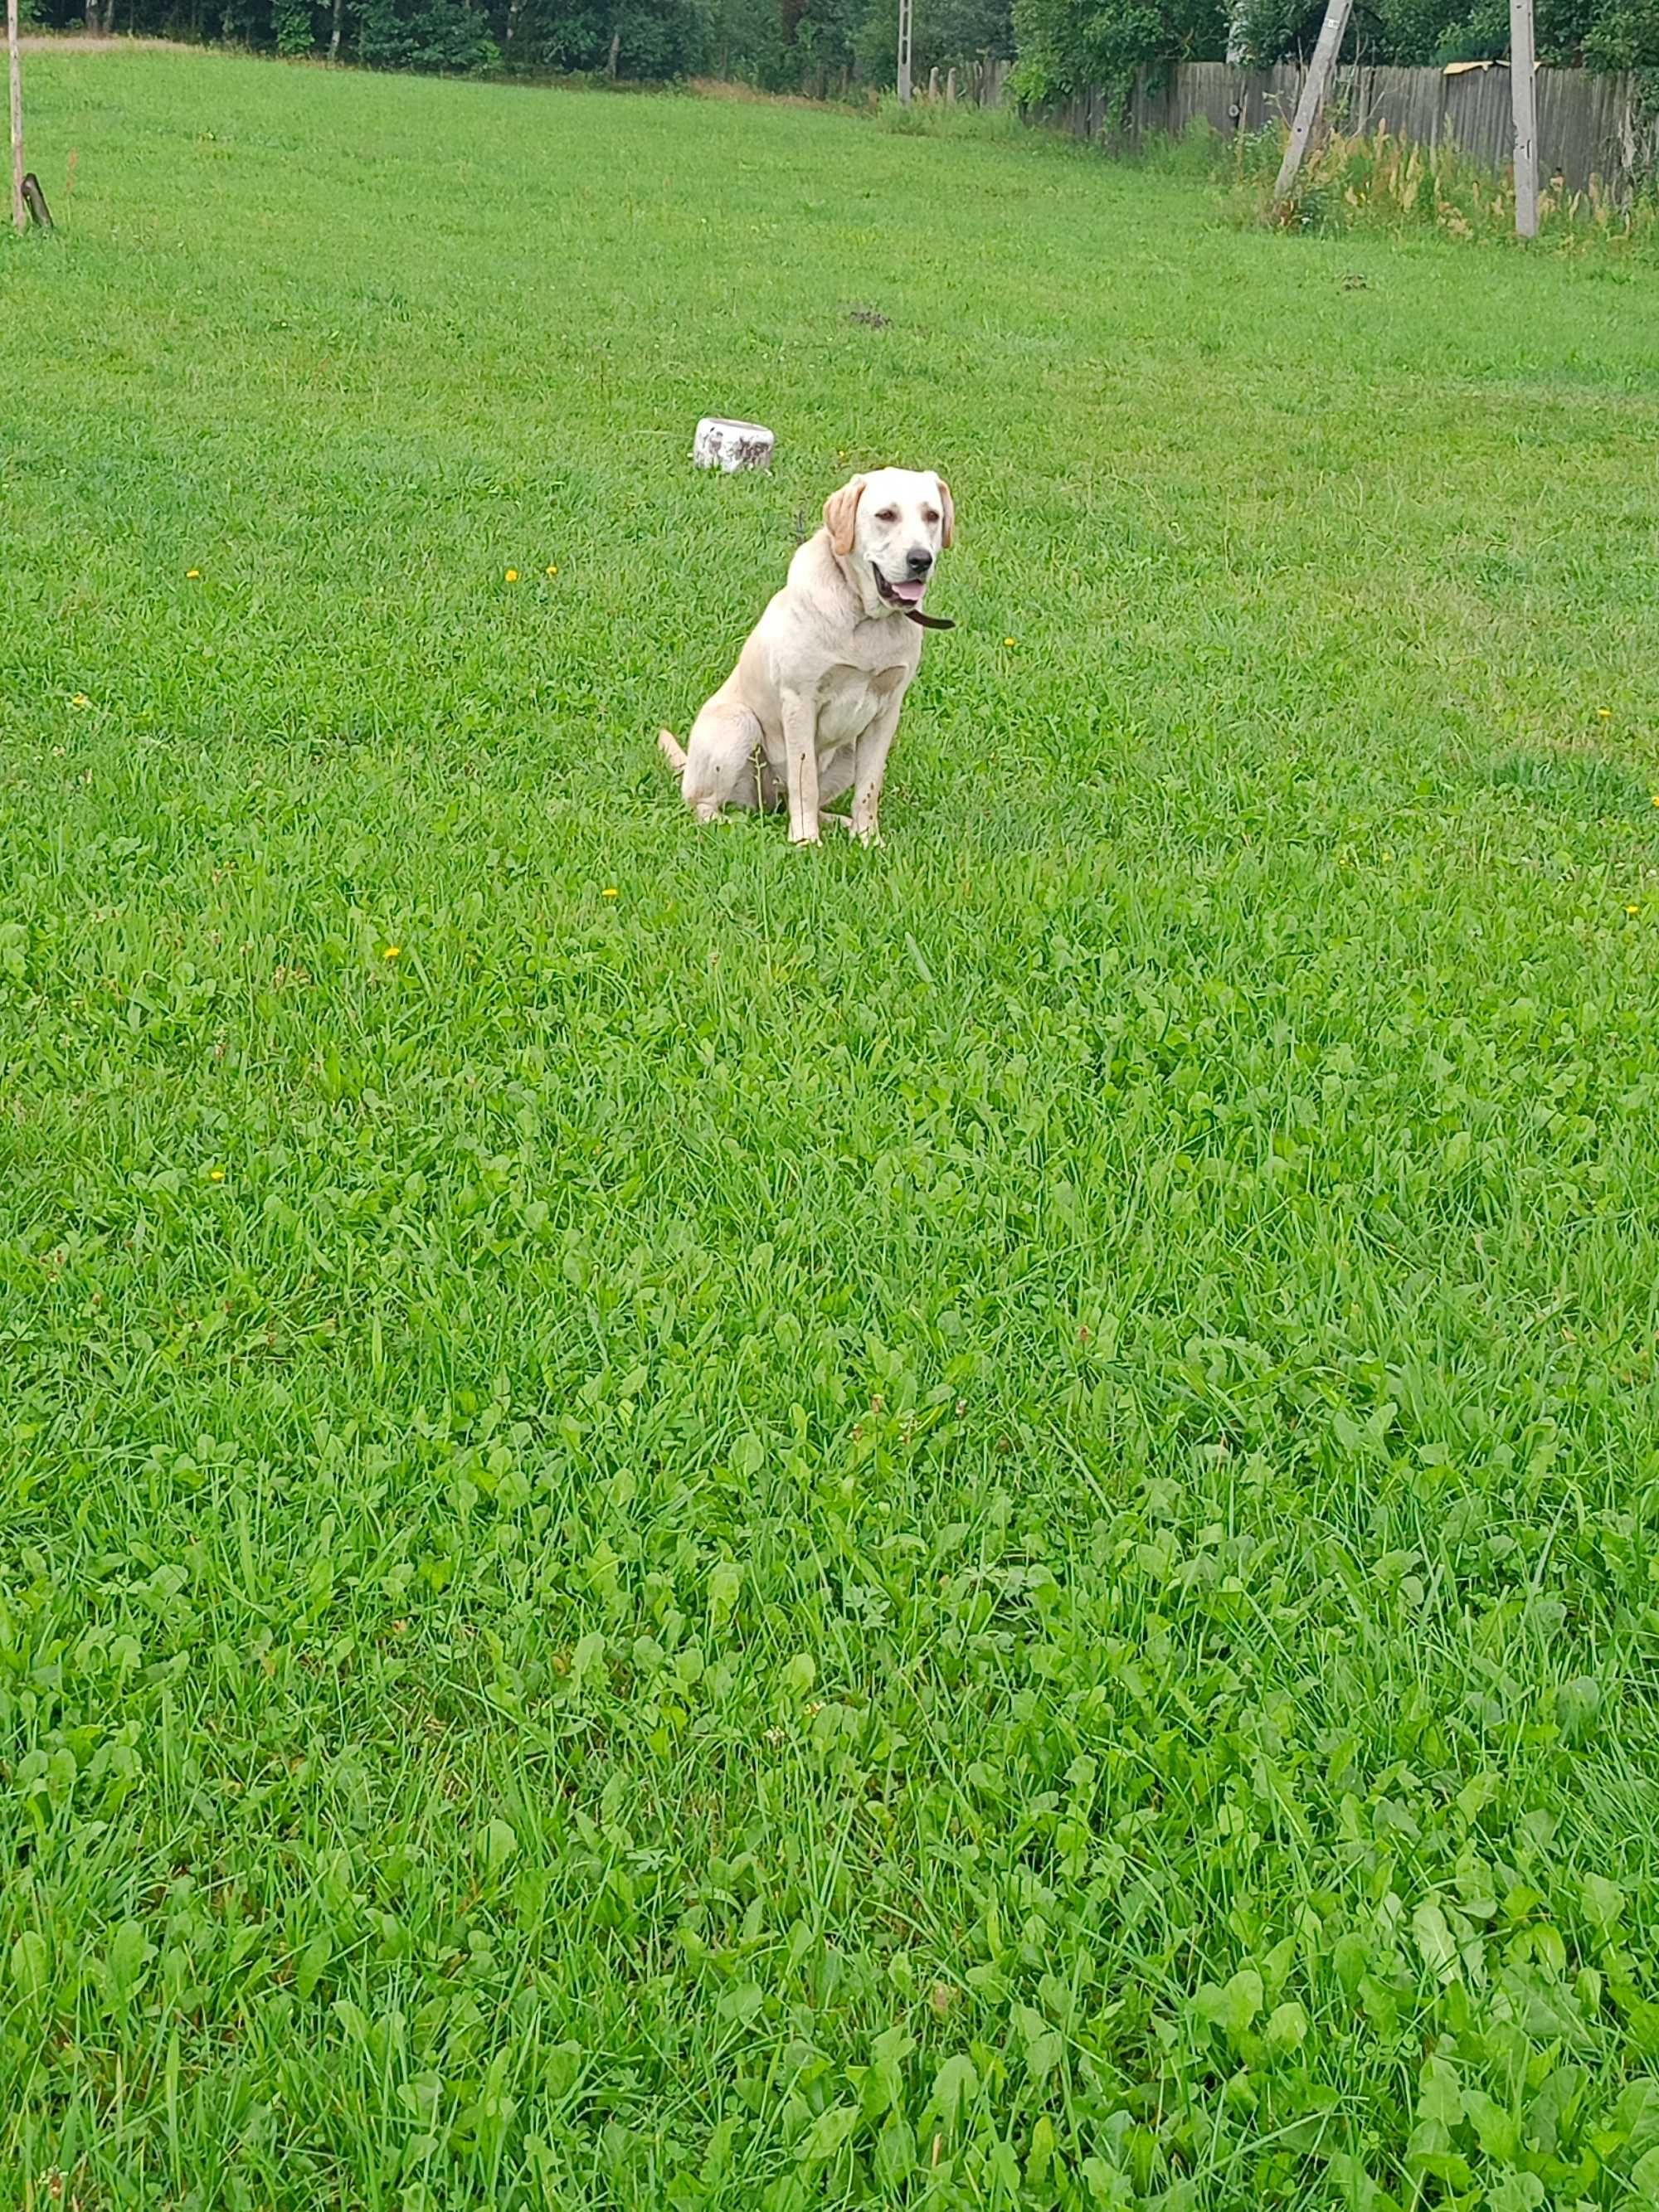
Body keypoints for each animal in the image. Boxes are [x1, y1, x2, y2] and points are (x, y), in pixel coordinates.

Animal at [659, 466, 956, 844]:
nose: (920, 560)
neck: (865, 617)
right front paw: (805, 840)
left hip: (846, 751)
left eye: (932, 516)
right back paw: (739, 826)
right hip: (738, 724)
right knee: (704, 803)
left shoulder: (887, 711)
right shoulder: (800, 701)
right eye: (886, 515)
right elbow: (805, 780)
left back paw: (839, 823)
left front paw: (868, 839)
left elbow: (869, 786)